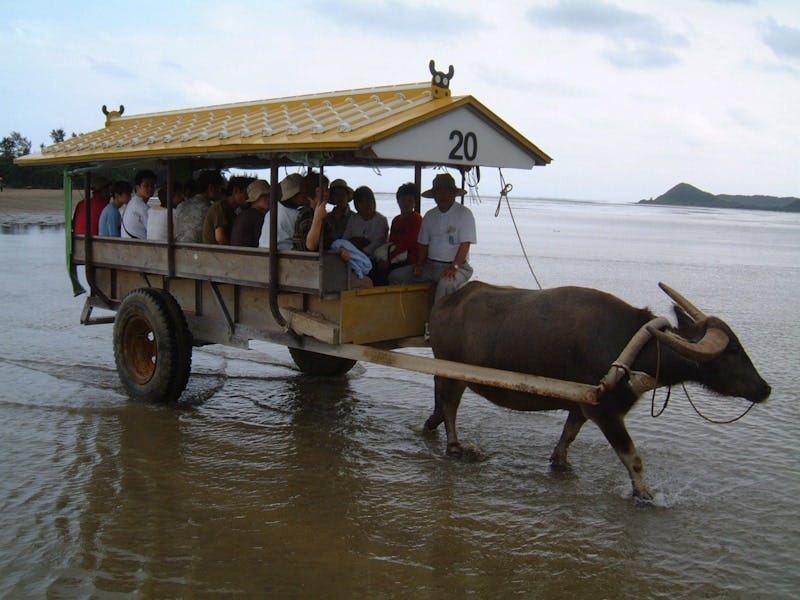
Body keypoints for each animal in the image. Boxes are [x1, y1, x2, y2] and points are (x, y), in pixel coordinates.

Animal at [424, 284, 768, 500]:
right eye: (733, 351)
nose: (765, 388)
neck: (632, 350)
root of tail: (444, 304)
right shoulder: (606, 412)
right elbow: (632, 457)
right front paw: (644, 494)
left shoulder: (581, 406)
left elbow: (569, 435)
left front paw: (560, 462)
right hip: (452, 373)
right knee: (450, 406)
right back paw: (454, 446)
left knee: (443, 404)